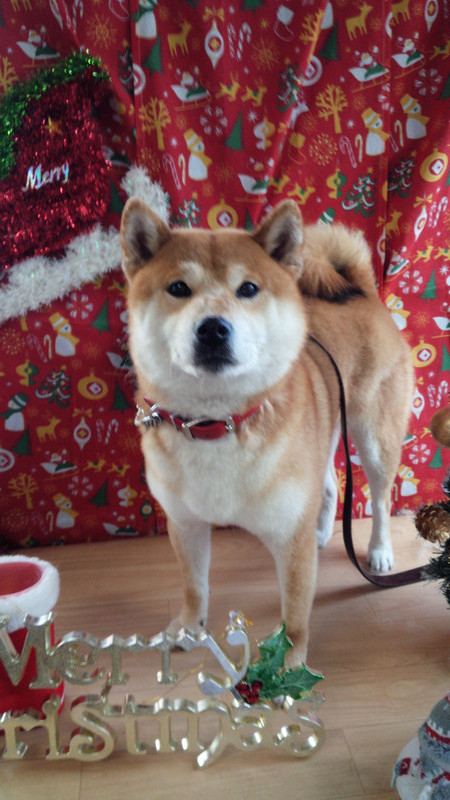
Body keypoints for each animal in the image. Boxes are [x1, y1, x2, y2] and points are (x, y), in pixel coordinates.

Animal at [120, 198, 414, 667]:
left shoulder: (288, 540)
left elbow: (294, 614)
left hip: (373, 436)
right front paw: (189, 627)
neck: (216, 424)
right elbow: (194, 586)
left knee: (382, 499)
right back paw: (321, 532)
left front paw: (289, 667)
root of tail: (361, 291)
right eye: (178, 288)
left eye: (248, 289)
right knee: (329, 484)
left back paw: (379, 552)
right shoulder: (185, 523)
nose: (213, 327)